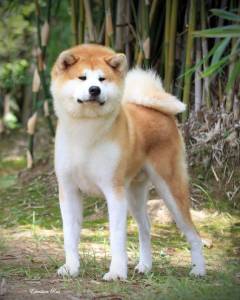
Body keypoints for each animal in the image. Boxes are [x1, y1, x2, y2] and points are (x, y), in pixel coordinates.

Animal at [51, 43, 206, 280]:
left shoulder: (114, 191)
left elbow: (116, 237)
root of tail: (159, 112)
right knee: (146, 228)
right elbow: (70, 235)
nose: (94, 89)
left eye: (102, 79)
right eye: (82, 77)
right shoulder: (69, 190)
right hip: (134, 194)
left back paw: (199, 269)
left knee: (192, 232)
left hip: (170, 188)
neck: (86, 132)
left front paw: (116, 272)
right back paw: (145, 266)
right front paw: (71, 268)